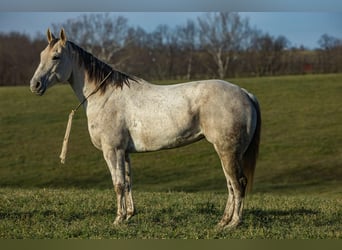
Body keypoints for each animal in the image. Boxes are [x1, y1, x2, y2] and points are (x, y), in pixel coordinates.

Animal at [30, 28, 262, 229]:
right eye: (41, 55)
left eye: (56, 57)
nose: (35, 85)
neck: (105, 96)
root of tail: (245, 93)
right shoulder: (124, 152)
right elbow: (128, 182)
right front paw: (129, 215)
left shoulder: (112, 150)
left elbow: (118, 184)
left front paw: (118, 219)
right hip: (227, 152)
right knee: (231, 184)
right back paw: (222, 222)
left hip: (228, 151)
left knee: (238, 183)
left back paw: (233, 224)